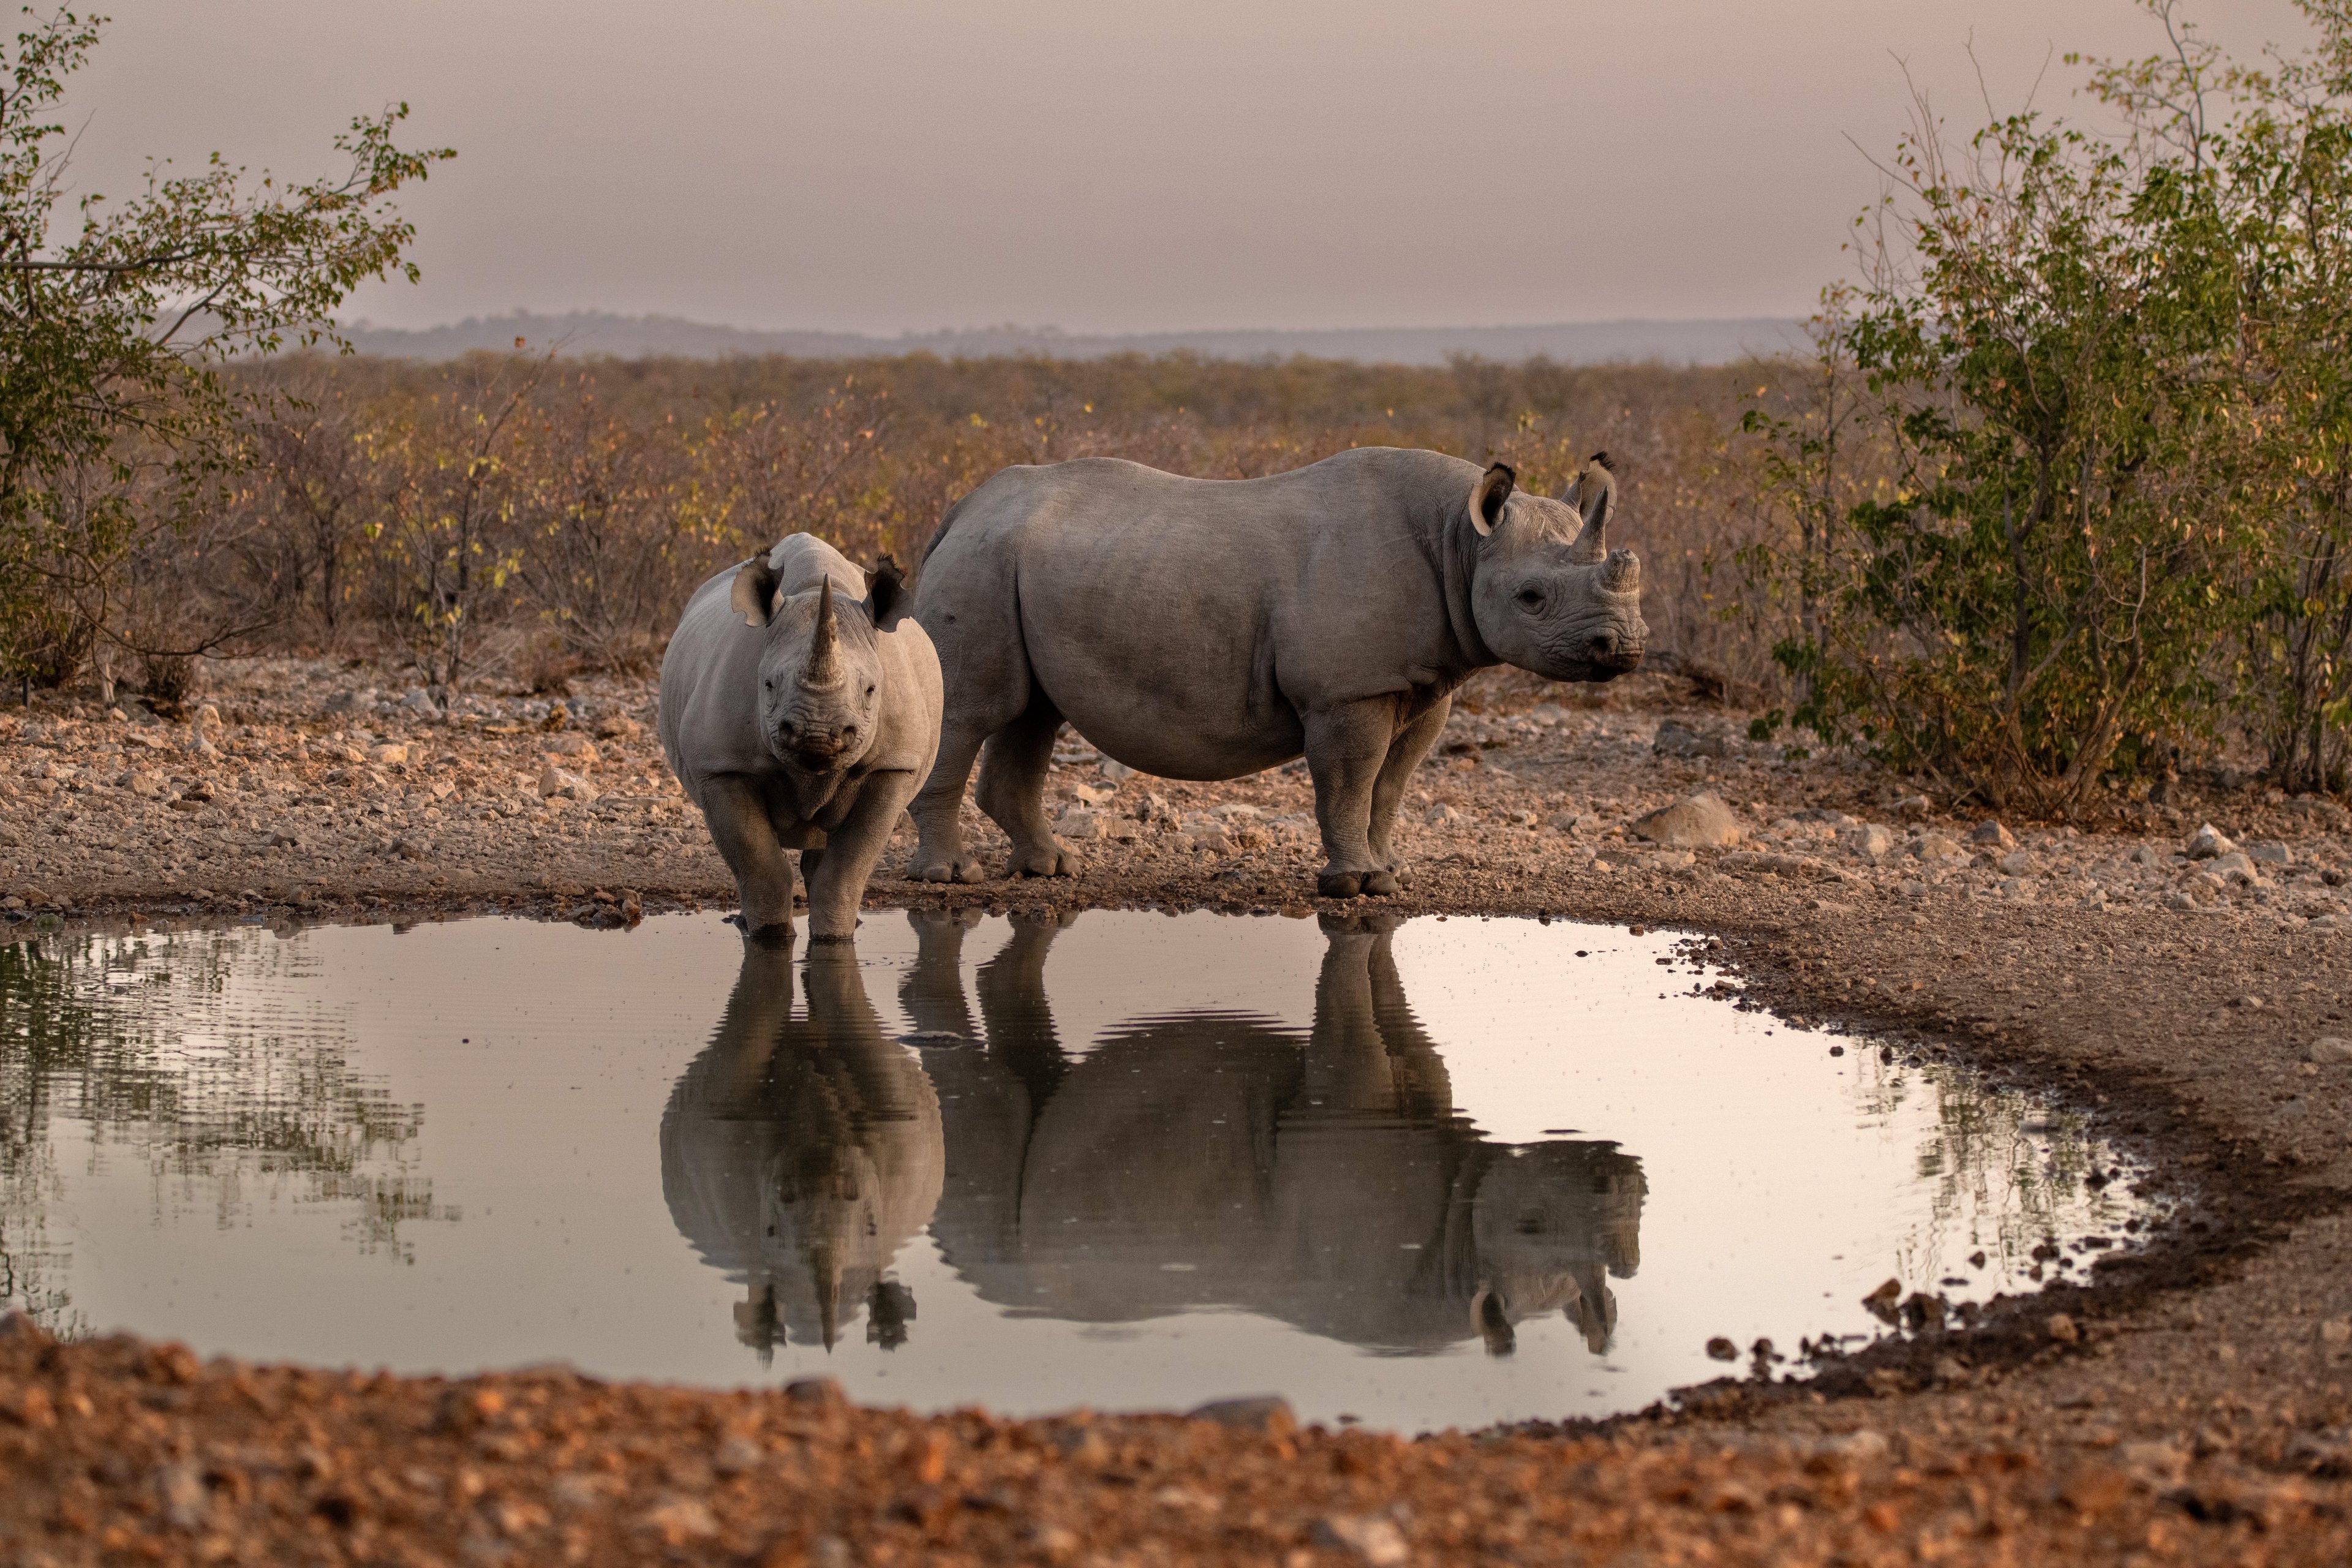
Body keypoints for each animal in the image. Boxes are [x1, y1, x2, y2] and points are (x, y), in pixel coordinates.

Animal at [658, 533, 941, 940]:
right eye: (768, 685)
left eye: (872, 690)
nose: (818, 735)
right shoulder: (721, 766)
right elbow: (760, 865)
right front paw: (769, 936)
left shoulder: (894, 766)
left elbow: (846, 870)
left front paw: (834, 938)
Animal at [908, 447, 1646, 902]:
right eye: (1531, 597)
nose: (1627, 646)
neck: (1461, 539)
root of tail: (963, 509)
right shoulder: (1348, 689)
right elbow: (1350, 782)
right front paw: (1355, 885)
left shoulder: (1422, 682)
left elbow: (1391, 786)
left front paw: (1391, 874)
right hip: (983, 562)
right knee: (971, 708)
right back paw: (952, 878)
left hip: (1017, 563)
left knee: (1032, 713)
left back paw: (1051, 869)